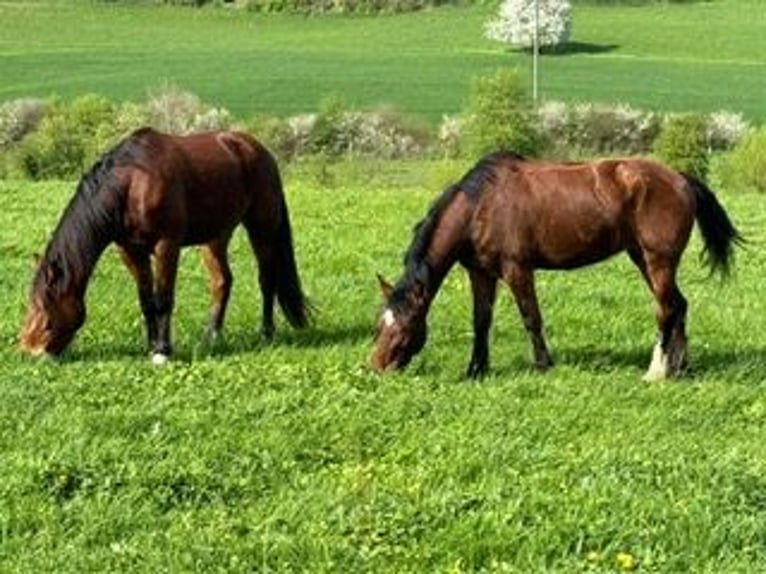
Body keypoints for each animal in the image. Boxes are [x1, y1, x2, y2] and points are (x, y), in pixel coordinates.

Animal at [21, 127, 308, 364]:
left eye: (45, 310)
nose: (31, 350)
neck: (133, 184)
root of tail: (257, 149)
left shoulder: (166, 246)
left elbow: (163, 298)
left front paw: (162, 351)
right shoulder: (130, 250)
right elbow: (146, 300)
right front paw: (150, 345)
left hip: (261, 227)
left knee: (266, 279)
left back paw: (266, 333)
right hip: (216, 236)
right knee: (222, 281)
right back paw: (212, 335)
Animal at [372, 152, 744, 382]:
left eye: (403, 327)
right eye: (379, 326)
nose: (375, 367)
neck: (479, 207)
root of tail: (680, 178)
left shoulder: (517, 269)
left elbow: (531, 318)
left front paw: (542, 365)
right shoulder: (481, 273)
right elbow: (481, 322)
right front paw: (476, 370)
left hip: (658, 261)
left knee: (667, 308)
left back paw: (655, 372)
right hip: (643, 258)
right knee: (679, 305)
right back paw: (678, 369)